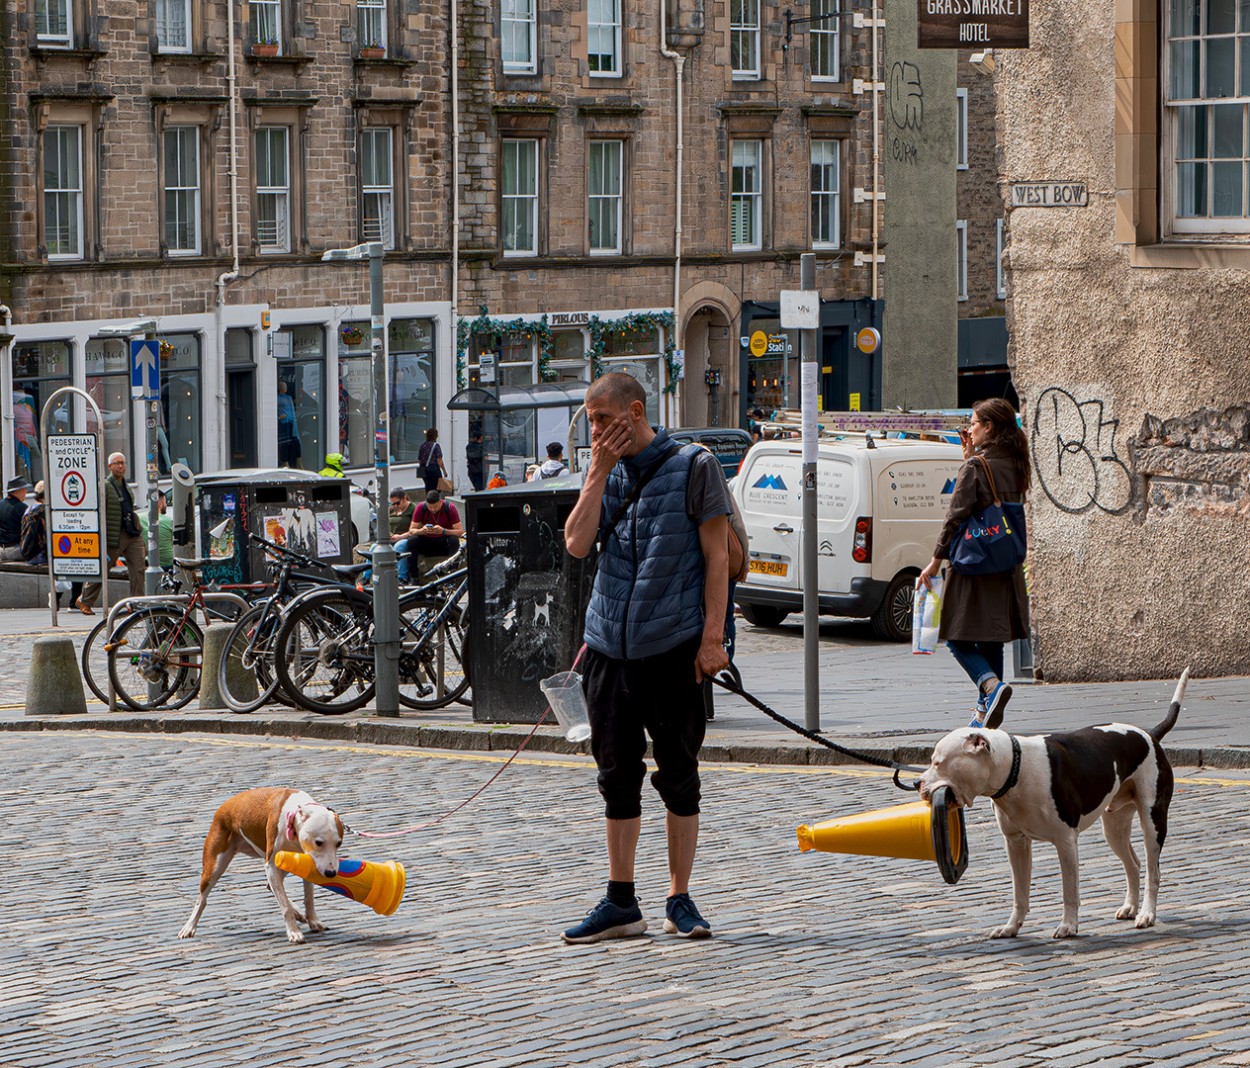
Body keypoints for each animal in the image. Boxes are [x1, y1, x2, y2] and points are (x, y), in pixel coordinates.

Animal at [177, 785, 347, 945]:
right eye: (318, 842)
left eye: (338, 843)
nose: (331, 873)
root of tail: (224, 806)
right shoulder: (271, 865)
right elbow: (284, 906)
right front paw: (294, 932)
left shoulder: (307, 864)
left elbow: (309, 898)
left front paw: (314, 921)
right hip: (214, 868)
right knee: (202, 899)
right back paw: (189, 928)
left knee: (270, 886)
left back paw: (298, 912)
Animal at [920, 675, 1190, 940]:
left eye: (938, 762)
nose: (916, 783)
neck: (1014, 768)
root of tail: (1149, 735)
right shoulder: (1016, 844)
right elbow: (1020, 893)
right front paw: (1011, 927)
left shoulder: (1065, 842)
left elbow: (1069, 891)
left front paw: (1069, 926)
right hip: (1114, 826)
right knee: (1133, 864)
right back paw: (1130, 907)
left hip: (1153, 822)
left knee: (1153, 871)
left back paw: (1147, 914)